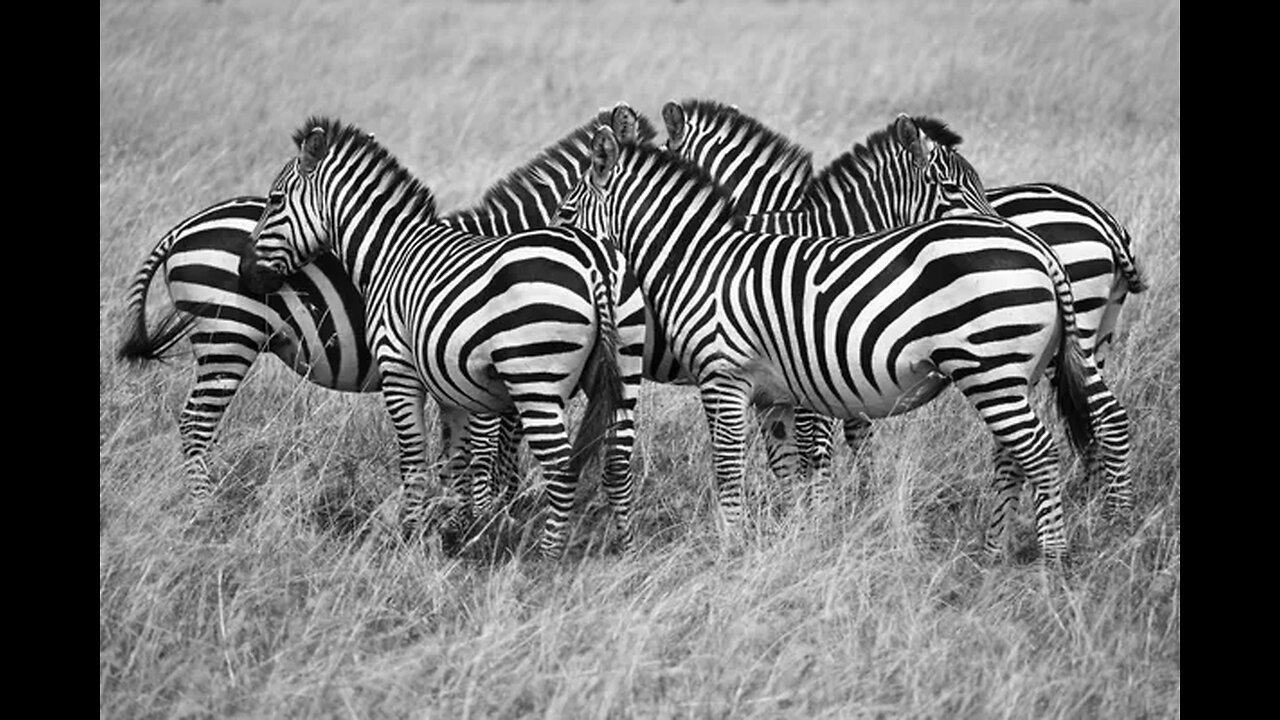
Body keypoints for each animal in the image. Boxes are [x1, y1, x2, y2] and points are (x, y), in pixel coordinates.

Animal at [116, 106, 660, 512]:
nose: (247, 272)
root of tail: (187, 224)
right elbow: (485, 452)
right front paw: (483, 512)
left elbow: (486, 450)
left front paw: (481, 509)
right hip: (228, 337)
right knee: (195, 424)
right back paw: (205, 511)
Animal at [555, 127, 1136, 561]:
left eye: (562, 216)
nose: (553, 250)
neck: (701, 261)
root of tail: (1041, 250)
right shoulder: (779, 390)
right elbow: (790, 464)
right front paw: (793, 534)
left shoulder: (724, 377)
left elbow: (733, 465)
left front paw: (732, 544)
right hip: (1022, 370)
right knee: (1023, 450)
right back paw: (999, 549)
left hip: (991, 367)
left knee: (1040, 450)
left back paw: (1056, 556)